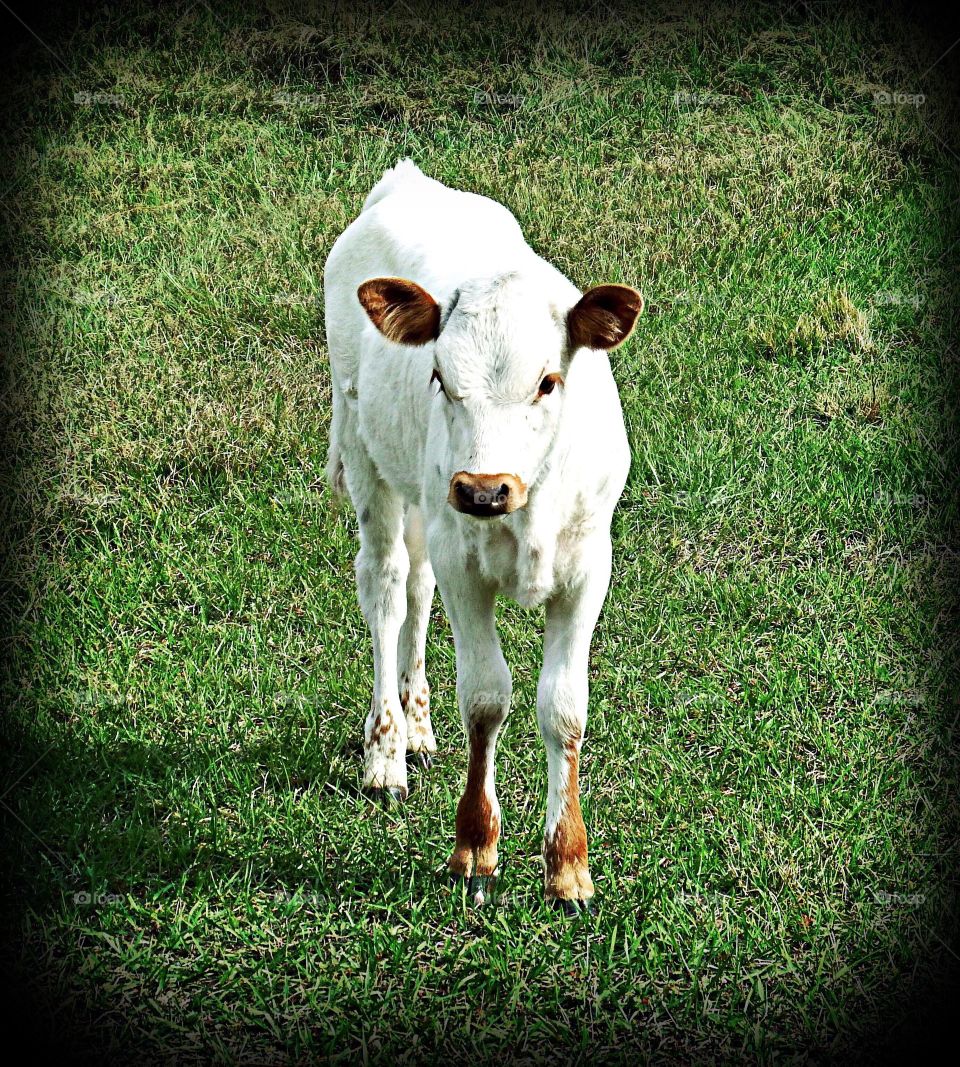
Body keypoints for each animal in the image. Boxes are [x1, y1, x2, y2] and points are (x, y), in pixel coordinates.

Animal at [323, 160, 642, 911]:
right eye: (440, 377)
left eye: (549, 381)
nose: (483, 489)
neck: (528, 514)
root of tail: (407, 181)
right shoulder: (464, 562)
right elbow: (487, 698)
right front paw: (474, 847)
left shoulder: (588, 567)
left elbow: (564, 707)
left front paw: (568, 866)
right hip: (372, 461)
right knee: (386, 586)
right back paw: (386, 750)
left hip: (425, 499)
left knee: (415, 588)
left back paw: (416, 724)